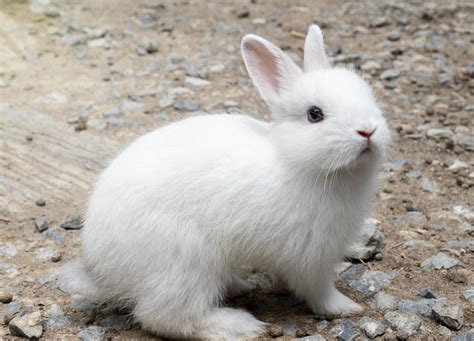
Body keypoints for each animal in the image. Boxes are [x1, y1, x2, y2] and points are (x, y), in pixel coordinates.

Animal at [62, 25, 388, 338]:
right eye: (315, 114)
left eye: (369, 95)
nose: (368, 131)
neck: (296, 161)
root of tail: (100, 265)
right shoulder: (310, 256)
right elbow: (318, 290)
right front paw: (346, 308)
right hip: (185, 263)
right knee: (165, 318)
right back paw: (239, 326)